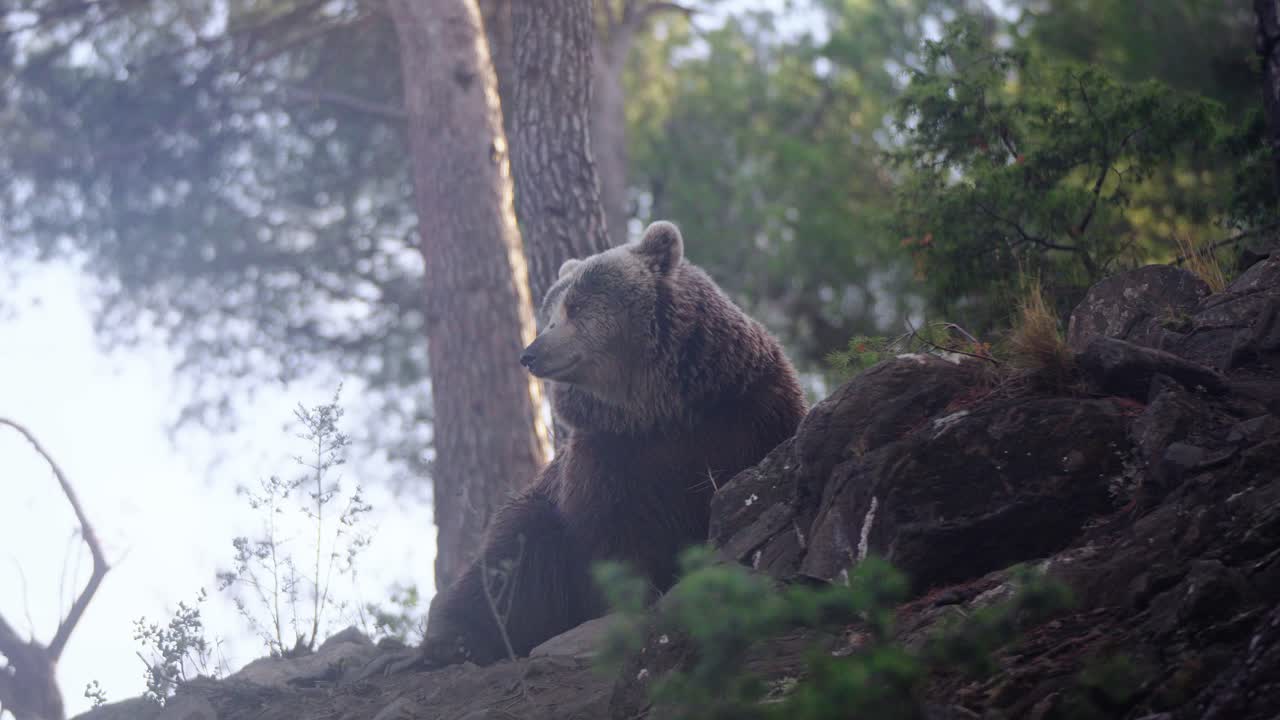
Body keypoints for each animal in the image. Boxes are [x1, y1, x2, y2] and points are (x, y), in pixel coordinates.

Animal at [417, 221, 807, 666]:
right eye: (548, 312)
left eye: (576, 306)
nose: (531, 353)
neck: (657, 407)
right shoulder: (610, 455)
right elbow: (616, 534)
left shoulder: (745, 409)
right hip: (536, 523)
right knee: (501, 568)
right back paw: (454, 640)